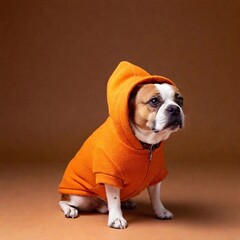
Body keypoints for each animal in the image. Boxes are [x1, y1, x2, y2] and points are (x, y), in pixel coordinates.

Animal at [58, 61, 186, 229]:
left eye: (180, 100)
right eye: (154, 101)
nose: (175, 108)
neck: (146, 144)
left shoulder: (156, 176)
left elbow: (156, 196)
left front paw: (161, 211)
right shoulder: (111, 175)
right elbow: (114, 200)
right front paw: (116, 219)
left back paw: (124, 203)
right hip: (80, 198)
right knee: (64, 201)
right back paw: (70, 209)